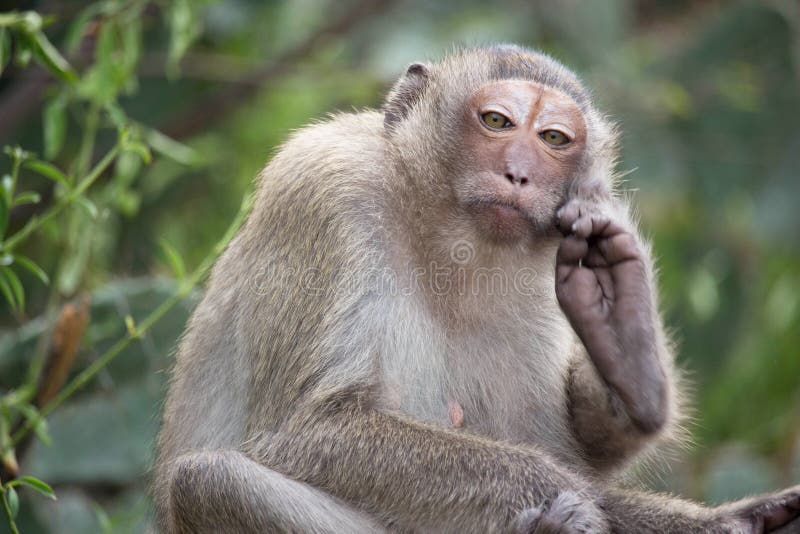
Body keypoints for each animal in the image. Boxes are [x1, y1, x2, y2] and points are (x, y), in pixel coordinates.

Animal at [153, 47, 800, 534]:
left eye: (554, 137)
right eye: (496, 122)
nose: (519, 173)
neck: (440, 241)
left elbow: (582, 446)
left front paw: (622, 334)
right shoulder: (324, 191)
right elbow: (304, 430)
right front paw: (582, 500)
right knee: (209, 482)